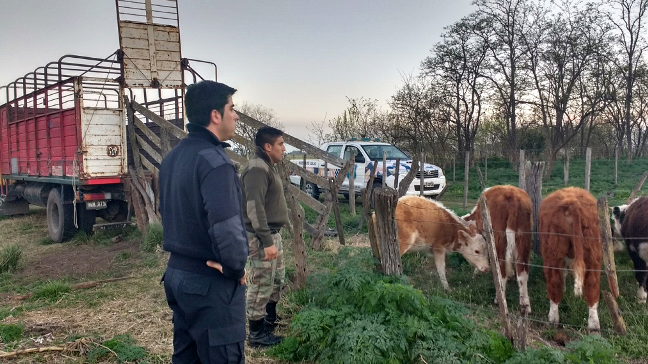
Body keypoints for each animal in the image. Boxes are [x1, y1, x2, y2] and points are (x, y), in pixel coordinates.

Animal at [466, 186, 532, 314]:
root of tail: (512, 194)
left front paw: (477, 271)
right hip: (524, 238)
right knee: (522, 271)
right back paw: (525, 305)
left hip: (499, 238)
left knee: (501, 268)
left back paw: (498, 298)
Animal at [536, 186, 604, 332]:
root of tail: (572, 201)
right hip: (593, 254)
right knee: (592, 285)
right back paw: (594, 325)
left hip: (552, 254)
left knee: (554, 282)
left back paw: (553, 318)